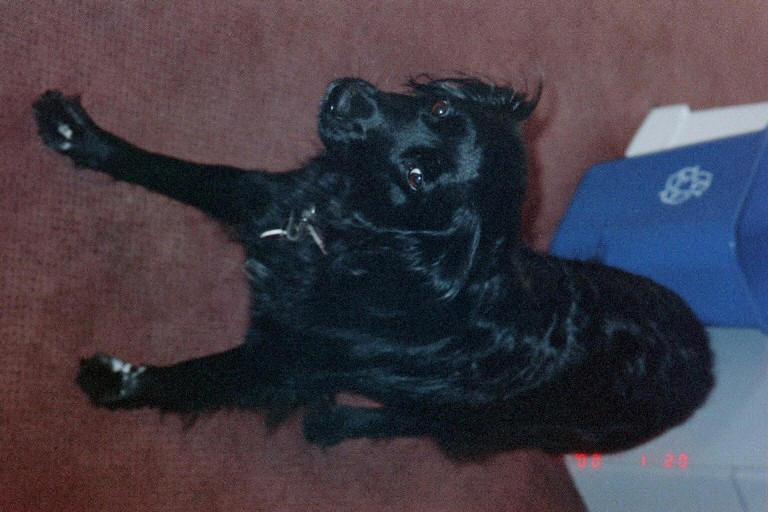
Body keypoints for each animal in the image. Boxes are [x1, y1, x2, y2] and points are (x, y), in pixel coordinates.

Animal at [33, 76, 713, 458]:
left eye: (416, 177)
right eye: (439, 111)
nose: (348, 101)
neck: (349, 235)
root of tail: (705, 366)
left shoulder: (284, 361)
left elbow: (197, 377)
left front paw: (115, 381)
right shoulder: (267, 199)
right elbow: (186, 170)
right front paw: (81, 137)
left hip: (489, 425)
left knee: (411, 423)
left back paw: (338, 423)